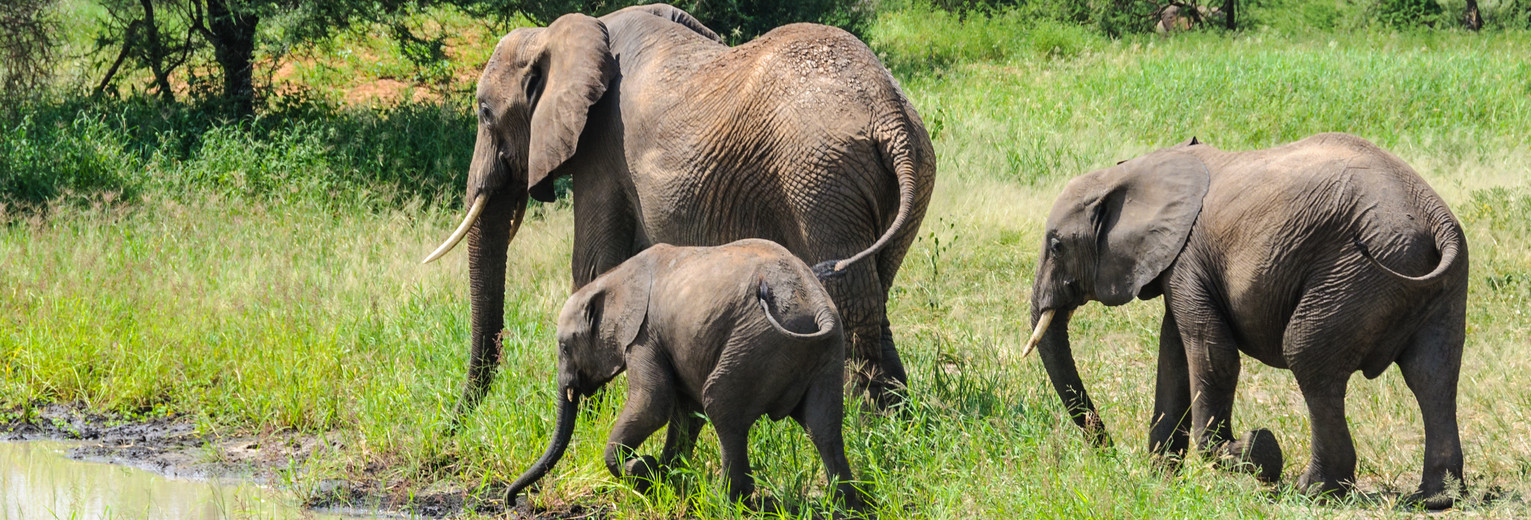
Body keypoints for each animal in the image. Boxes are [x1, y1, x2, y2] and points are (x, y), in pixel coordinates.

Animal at [425, 3, 936, 419]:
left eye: (484, 112)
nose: (457, 418)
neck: (556, 34)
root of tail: (888, 113)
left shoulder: (601, 149)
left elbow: (593, 265)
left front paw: (591, 416)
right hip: (892, 180)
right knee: (875, 290)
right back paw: (897, 419)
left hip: (821, 178)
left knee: (852, 297)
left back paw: (865, 425)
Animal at [502, 238, 863, 507]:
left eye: (564, 347)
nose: (512, 500)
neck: (611, 279)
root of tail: (815, 300)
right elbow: (684, 411)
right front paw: (666, 476)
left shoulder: (643, 336)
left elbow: (654, 404)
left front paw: (644, 470)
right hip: (825, 354)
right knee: (823, 426)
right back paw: (843, 505)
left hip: (756, 343)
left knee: (723, 408)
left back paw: (724, 501)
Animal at [1022, 133, 1463, 507]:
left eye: (1057, 246)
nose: (1108, 450)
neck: (1135, 169)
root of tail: (1437, 221)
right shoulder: (1179, 266)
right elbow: (1175, 358)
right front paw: (1161, 479)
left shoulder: (1188, 258)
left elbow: (1210, 354)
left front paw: (1255, 451)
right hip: (1431, 287)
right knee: (1433, 375)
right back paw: (1435, 499)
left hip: (1356, 271)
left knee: (1308, 357)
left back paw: (1313, 491)